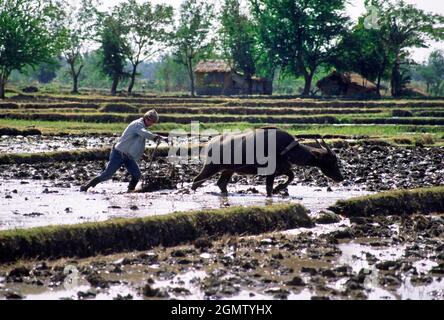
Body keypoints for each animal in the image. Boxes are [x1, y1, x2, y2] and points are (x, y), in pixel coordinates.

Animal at [191, 126, 344, 196]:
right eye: (331, 161)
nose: (341, 178)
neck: (287, 149)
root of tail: (210, 143)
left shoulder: (283, 168)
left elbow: (291, 176)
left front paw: (279, 188)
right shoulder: (271, 172)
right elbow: (269, 188)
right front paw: (276, 190)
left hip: (229, 170)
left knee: (221, 183)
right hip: (211, 167)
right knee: (196, 180)